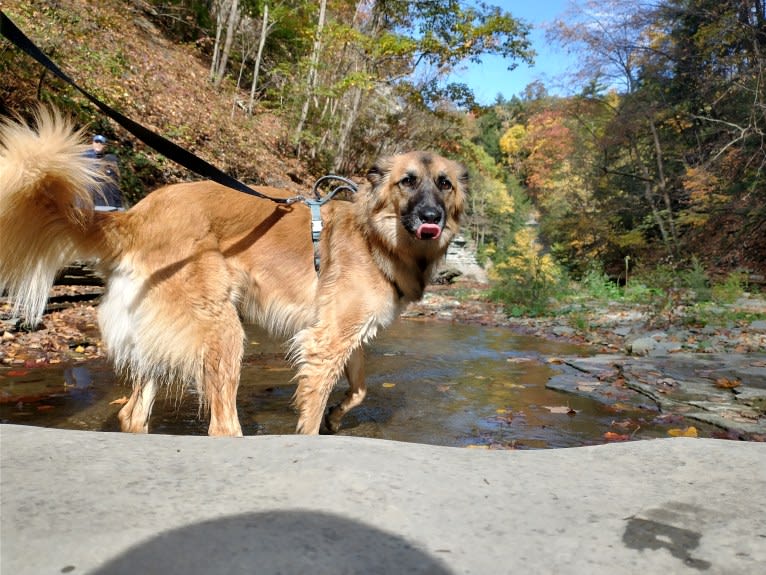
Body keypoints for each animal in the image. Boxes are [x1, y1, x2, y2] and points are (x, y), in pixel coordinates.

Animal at [0, 108, 468, 436]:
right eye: (408, 181)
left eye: (444, 184)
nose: (432, 217)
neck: (377, 237)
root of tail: (135, 216)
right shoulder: (328, 340)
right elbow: (313, 409)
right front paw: (317, 429)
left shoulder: (343, 336)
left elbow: (359, 388)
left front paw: (337, 416)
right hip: (223, 331)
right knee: (221, 426)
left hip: (158, 338)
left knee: (133, 414)